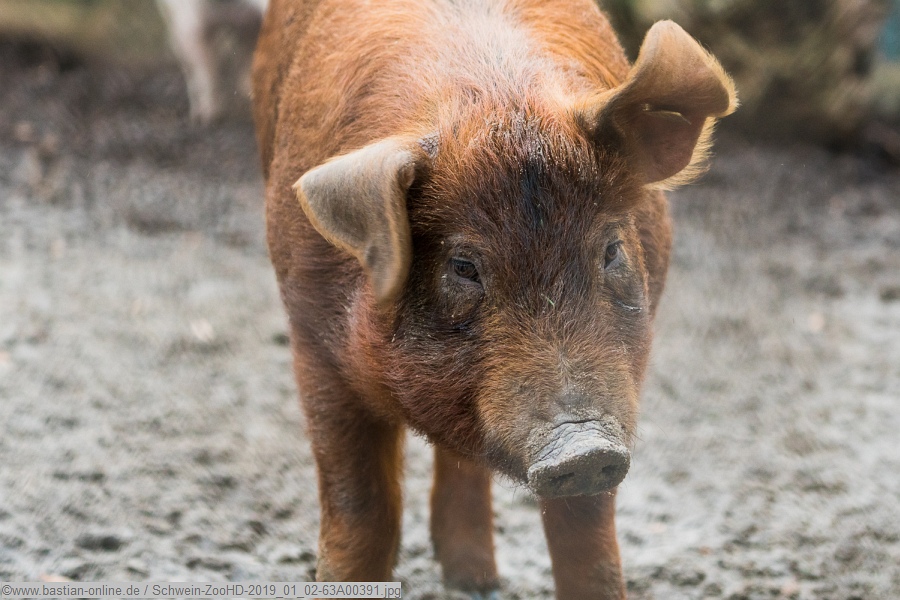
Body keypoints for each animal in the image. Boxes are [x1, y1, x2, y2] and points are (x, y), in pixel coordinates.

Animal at [252, 0, 736, 598]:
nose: (583, 446)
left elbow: (587, 529)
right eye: (464, 266)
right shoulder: (311, 337)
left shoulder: (622, 384)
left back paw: (475, 580)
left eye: (612, 249)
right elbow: (360, 505)